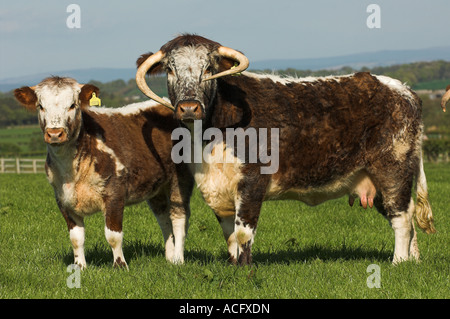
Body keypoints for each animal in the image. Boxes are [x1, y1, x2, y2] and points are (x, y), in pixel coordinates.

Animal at [13, 77, 192, 270]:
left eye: (73, 105)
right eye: (40, 106)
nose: (54, 133)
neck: (72, 171)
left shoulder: (115, 194)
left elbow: (113, 235)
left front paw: (120, 266)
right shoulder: (63, 200)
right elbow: (76, 238)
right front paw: (80, 267)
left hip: (180, 178)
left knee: (179, 218)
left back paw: (178, 259)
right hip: (156, 187)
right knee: (163, 218)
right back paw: (169, 256)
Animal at [136, 33, 436, 266]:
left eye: (209, 68)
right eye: (171, 69)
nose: (189, 108)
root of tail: (404, 90)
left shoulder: (252, 182)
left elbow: (243, 232)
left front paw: (244, 269)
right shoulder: (218, 188)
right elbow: (229, 234)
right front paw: (232, 265)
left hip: (393, 170)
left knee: (401, 217)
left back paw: (398, 262)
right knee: (408, 216)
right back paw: (413, 260)